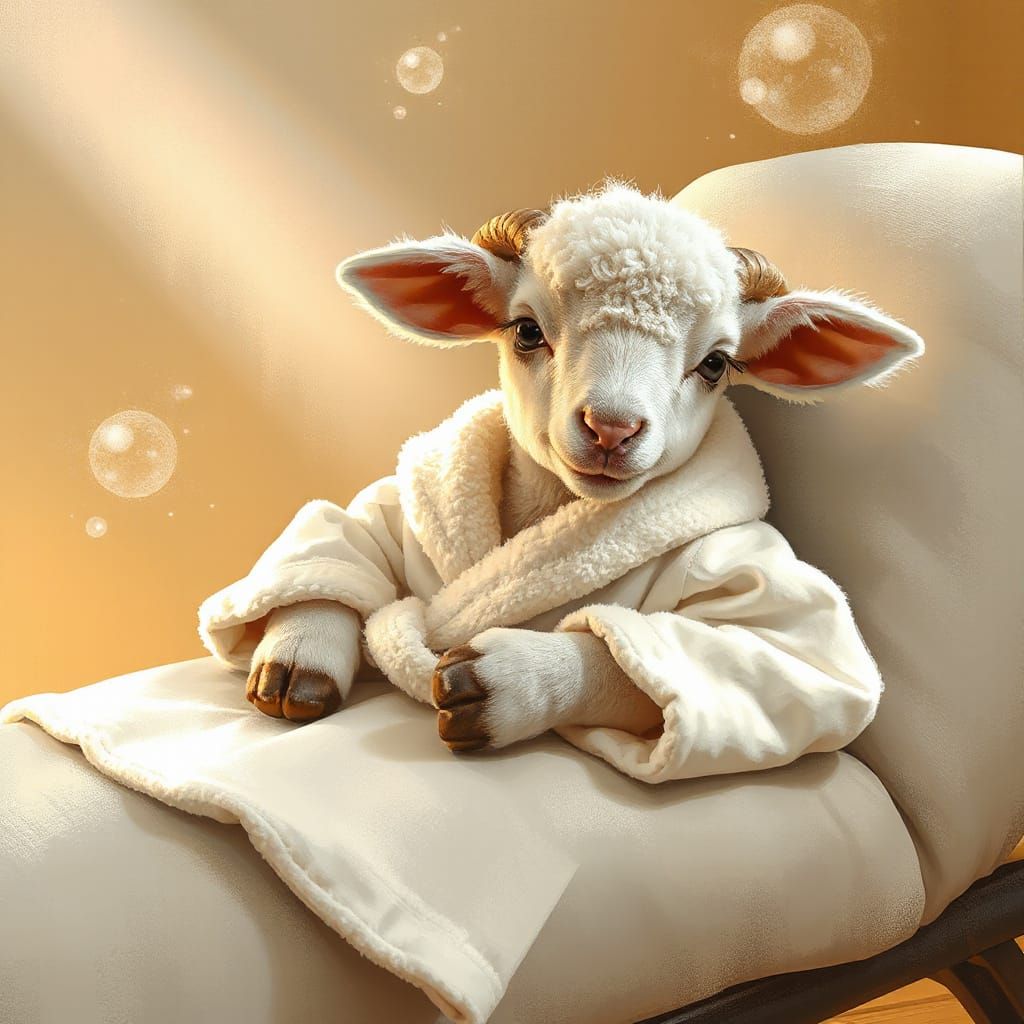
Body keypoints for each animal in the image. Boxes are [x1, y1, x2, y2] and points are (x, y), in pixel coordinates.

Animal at [199, 179, 924, 783]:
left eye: (717, 364)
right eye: (526, 330)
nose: (611, 428)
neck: (553, 505)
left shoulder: (760, 599)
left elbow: (772, 655)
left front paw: (512, 682)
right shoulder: (405, 504)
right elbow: (339, 536)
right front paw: (299, 656)